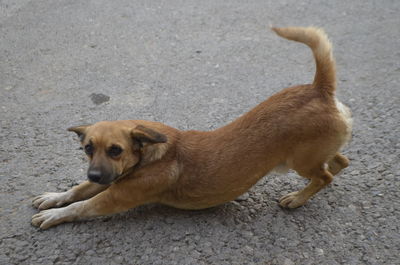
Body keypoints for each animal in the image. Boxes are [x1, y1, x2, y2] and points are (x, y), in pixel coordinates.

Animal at [32, 27, 354, 229]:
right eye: (87, 149)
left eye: (115, 150)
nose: (95, 174)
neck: (150, 154)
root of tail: (318, 89)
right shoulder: (110, 179)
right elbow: (76, 189)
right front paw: (54, 198)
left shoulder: (114, 196)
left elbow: (82, 205)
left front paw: (57, 214)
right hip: (313, 154)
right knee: (340, 161)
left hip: (301, 161)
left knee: (325, 176)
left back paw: (298, 198)